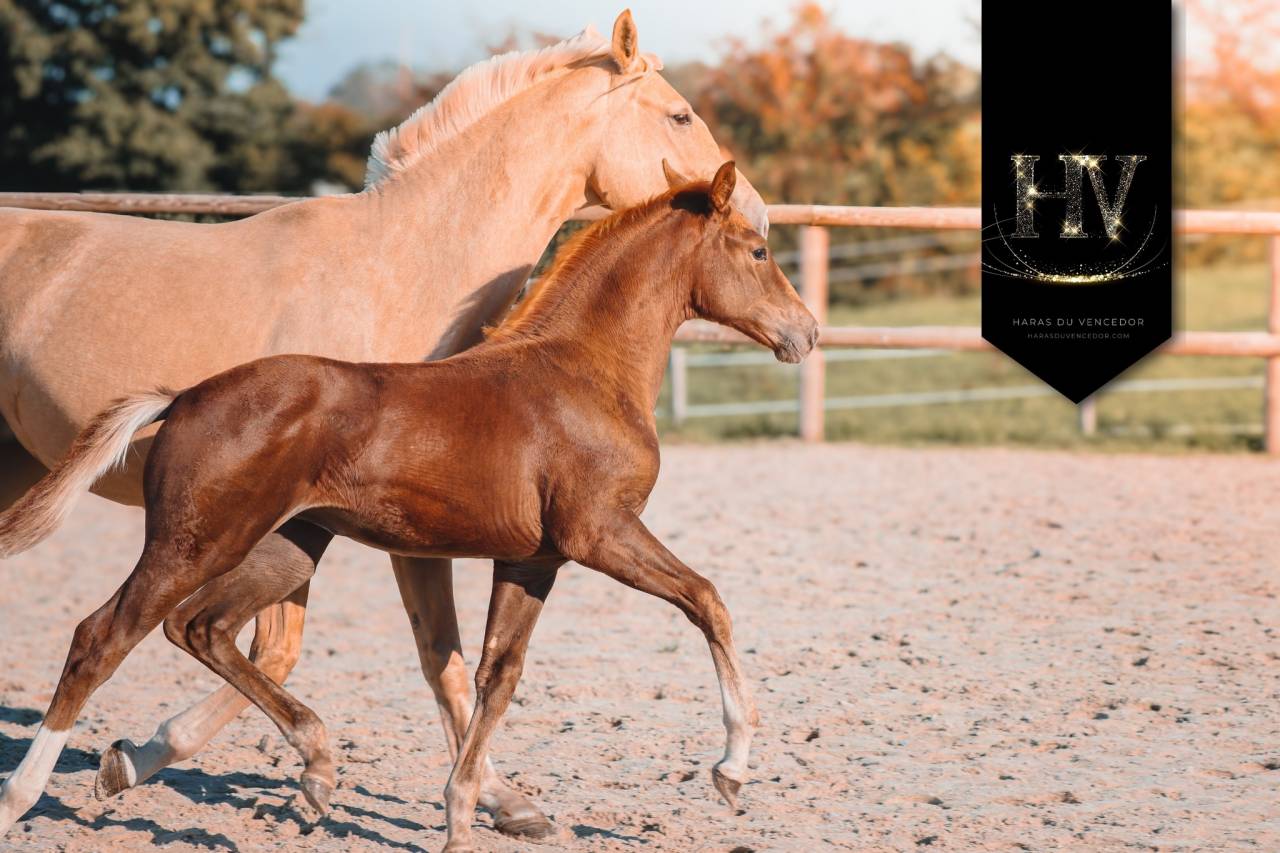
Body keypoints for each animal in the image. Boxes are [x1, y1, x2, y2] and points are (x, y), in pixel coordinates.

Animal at [0, 10, 769, 836]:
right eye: (679, 114)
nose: (756, 211)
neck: (399, 267)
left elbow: (432, 658)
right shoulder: (385, 525)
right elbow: (396, 658)